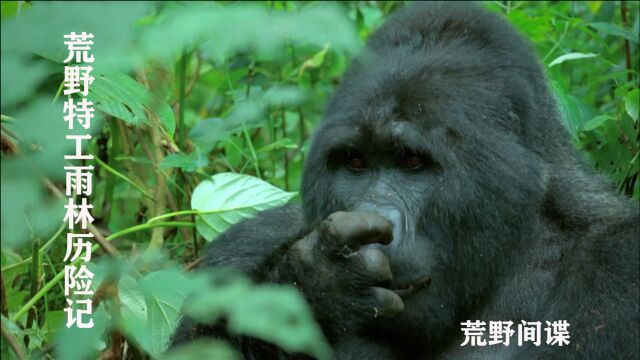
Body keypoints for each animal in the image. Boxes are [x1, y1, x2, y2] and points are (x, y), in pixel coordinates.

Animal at [171, 1, 640, 358]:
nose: (378, 220)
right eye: (355, 161)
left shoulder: (618, 265)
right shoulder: (245, 242)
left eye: (413, 162)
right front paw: (313, 285)